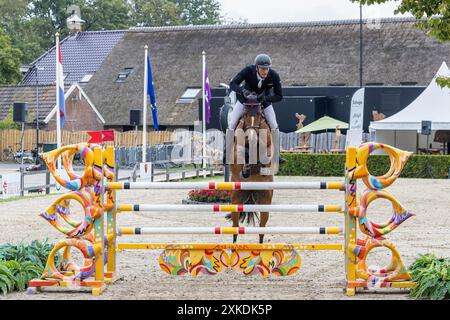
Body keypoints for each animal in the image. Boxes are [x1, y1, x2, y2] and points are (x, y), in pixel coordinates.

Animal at [227, 94, 276, 244]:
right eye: (245, 114)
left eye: (260, 114)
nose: (251, 138)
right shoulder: (236, 150)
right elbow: (242, 153)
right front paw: (246, 169)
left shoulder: (268, 148)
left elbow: (265, 154)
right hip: (236, 200)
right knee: (235, 227)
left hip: (265, 200)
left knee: (261, 229)